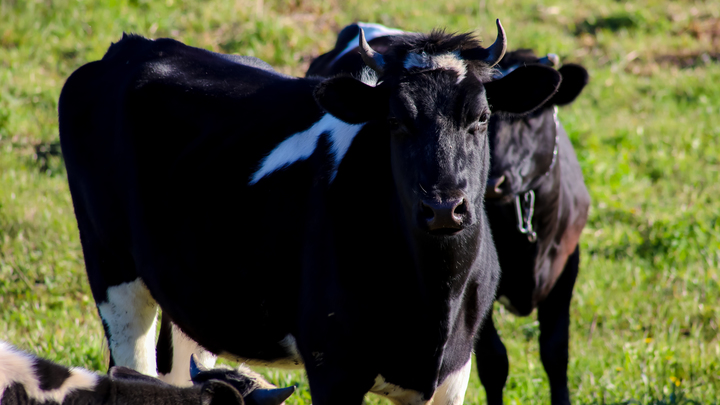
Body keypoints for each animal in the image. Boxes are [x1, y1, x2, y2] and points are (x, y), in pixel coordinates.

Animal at [59, 22, 560, 404]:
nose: (442, 208)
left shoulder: (454, 373)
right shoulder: (332, 364)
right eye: (394, 120)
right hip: (112, 269)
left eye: (481, 117)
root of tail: (134, 46)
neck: (433, 301)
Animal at [306, 22, 592, 404]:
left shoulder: (567, 266)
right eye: (395, 121)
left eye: (483, 116)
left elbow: (555, 352)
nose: (496, 179)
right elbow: (495, 361)